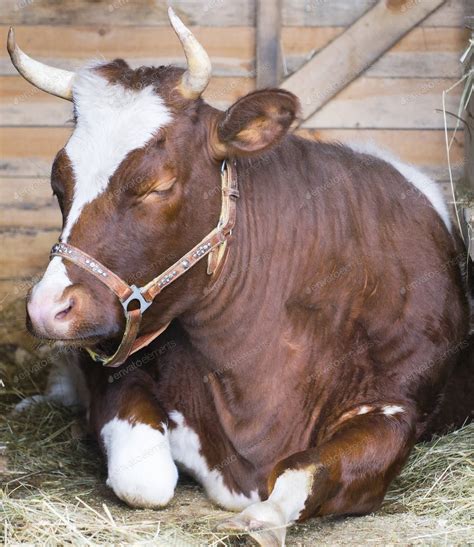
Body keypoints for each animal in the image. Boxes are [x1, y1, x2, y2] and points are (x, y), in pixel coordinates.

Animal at [7, 9, 474, 547]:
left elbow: (308, 470)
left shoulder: (398, 407)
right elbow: (146, 477)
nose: (48, 307)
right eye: (57, 183)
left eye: (157, 185)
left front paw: (262, 519)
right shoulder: (115, 372)